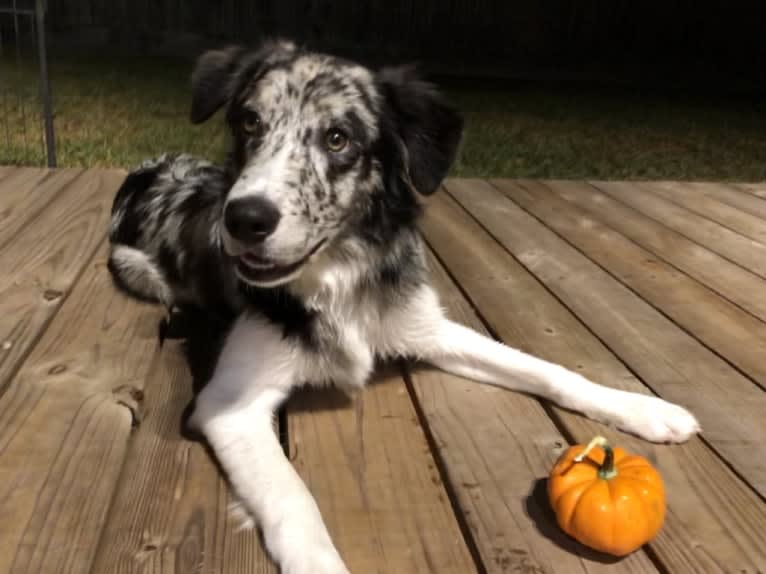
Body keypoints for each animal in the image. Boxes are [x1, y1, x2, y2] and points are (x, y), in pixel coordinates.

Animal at [108, 38, 704, 572]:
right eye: (250, 123)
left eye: (338, 138)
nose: (245, 219)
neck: (337, 278)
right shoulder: (230, 405)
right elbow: (294, 502)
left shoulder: (426, 328)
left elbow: (547, 370)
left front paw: (642, 408)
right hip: (133, 266)